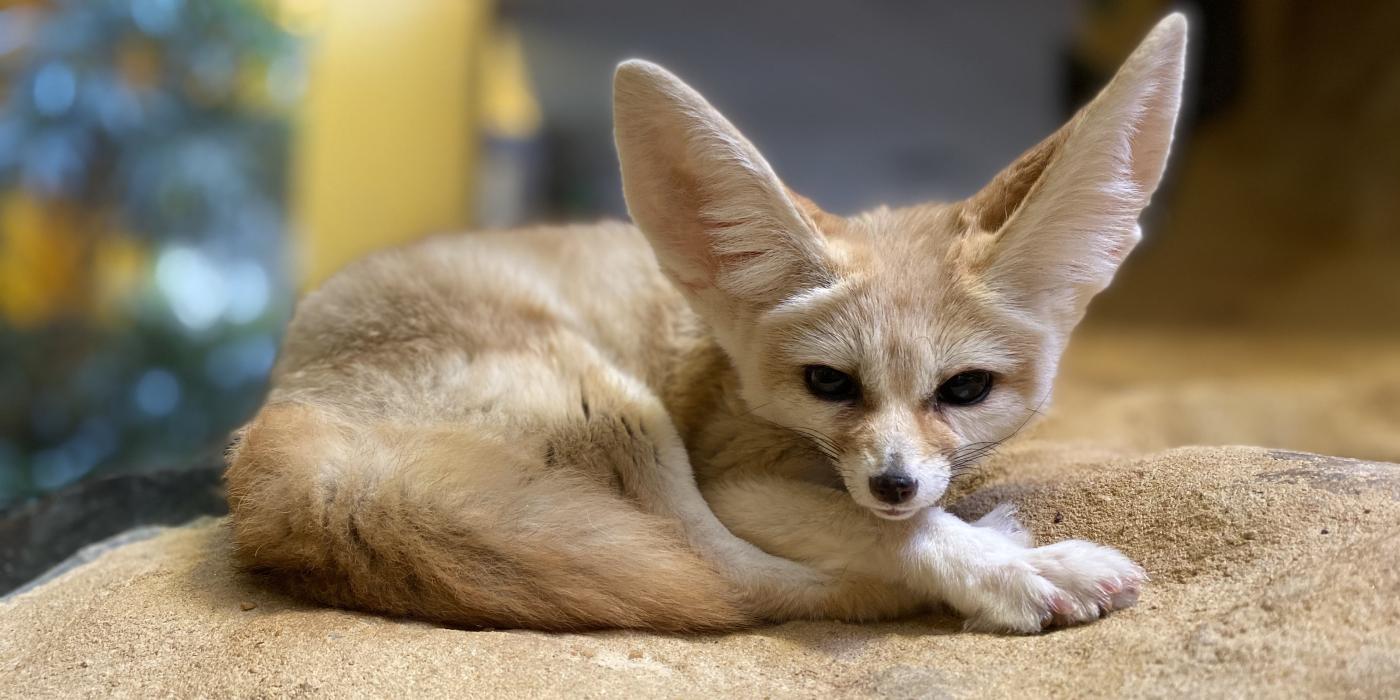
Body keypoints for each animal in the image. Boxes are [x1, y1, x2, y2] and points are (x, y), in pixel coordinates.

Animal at [224, 16, 1187, 632]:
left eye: (966, 390)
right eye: (828, 383)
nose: (893, 482)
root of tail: (277, 447)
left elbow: (896, 520)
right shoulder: (740, 480)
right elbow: (889, 535)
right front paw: (1012, 569)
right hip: (621, 411)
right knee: (737, 584)